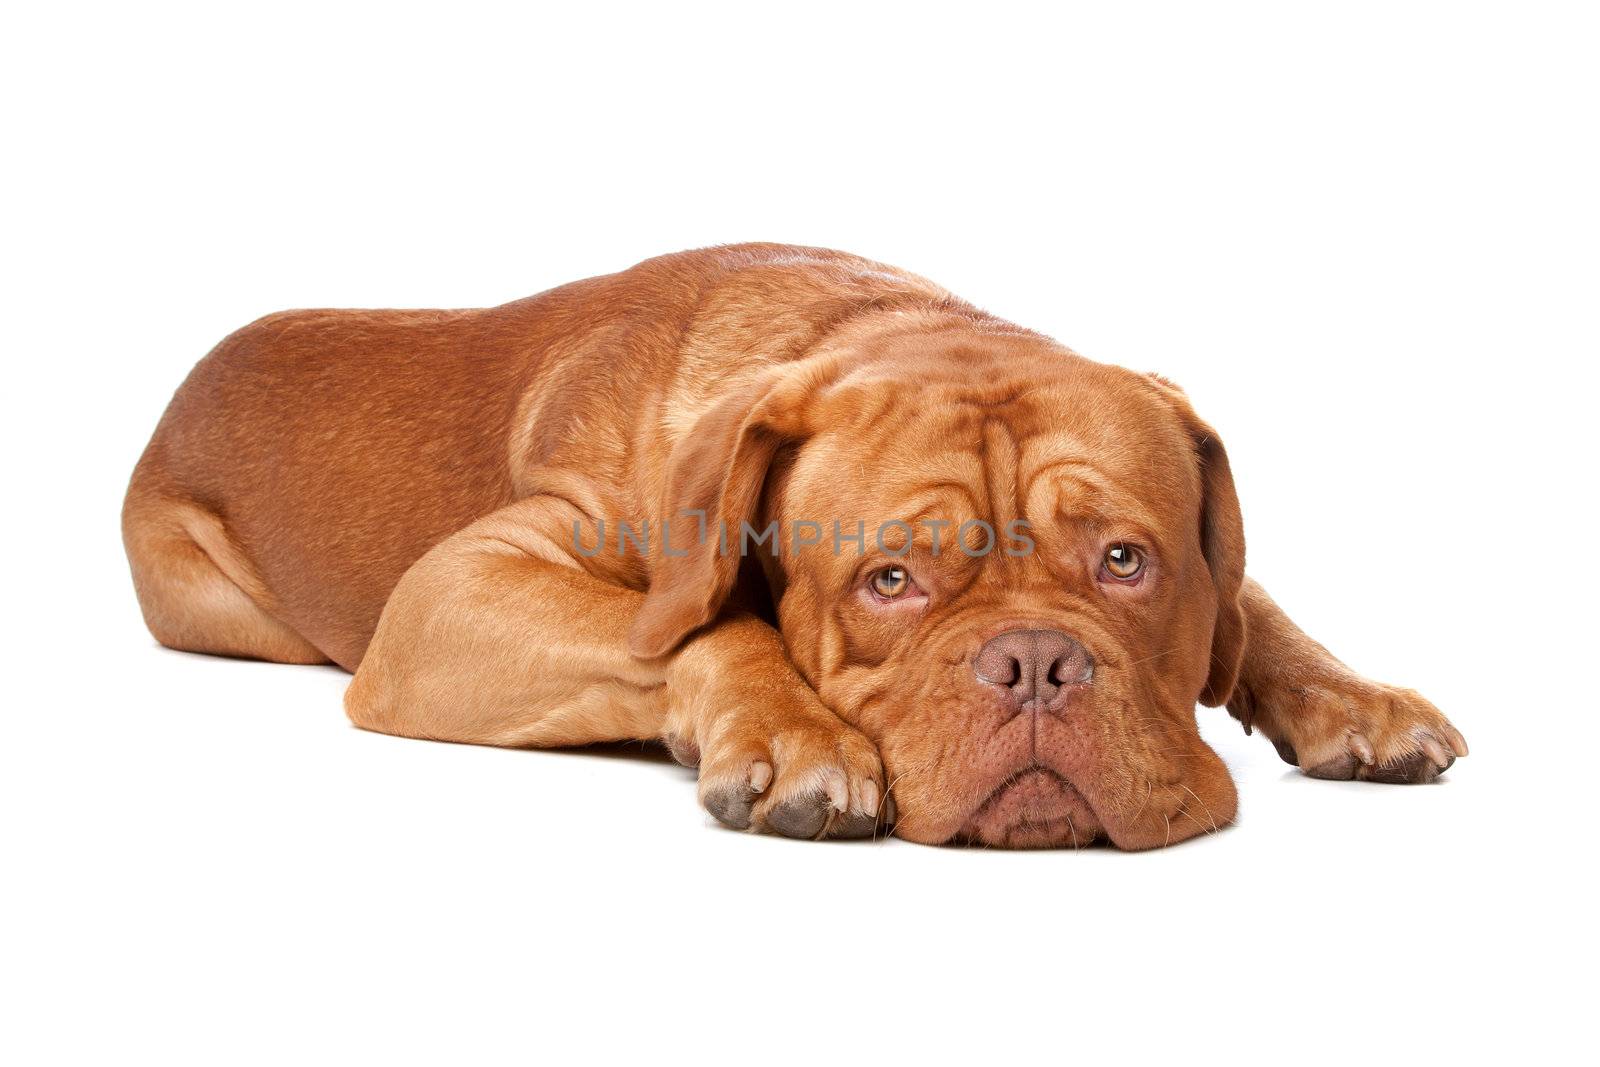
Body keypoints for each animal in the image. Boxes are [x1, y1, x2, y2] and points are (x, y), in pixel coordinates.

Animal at [121, 244, 1472, 851]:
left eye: (1126, 563)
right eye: (891, 579)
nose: (1036, 662)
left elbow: (1256, 602)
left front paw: (1354, 696)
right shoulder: (449, 595)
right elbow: (707, 621)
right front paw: (793, 735)